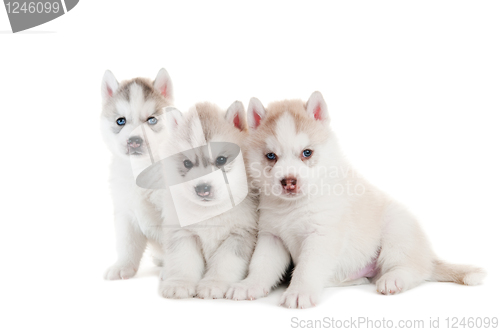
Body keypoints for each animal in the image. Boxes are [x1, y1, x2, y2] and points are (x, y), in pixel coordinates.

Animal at [99, 68, 174, 278]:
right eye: (120, 121)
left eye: (151, 120)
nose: (134, 141)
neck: (141, 169)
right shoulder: (125, 212)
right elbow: (127, 244)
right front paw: (123, 266)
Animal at [148, 100, 258, 298]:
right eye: (187, 163)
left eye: (221, 160)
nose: (203, 189)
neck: (210, 212)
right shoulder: (182, 234)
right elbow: (183, 261)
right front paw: (180, 283)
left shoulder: (240, 234)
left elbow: (224, 263)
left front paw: (214, 283)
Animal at [226, 91, 484, 308]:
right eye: (271, 156)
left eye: (307, 153)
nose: (289, 181)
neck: (293, 207)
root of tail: (429, 255)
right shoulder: (272, 237)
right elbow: (261, 265)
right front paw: (249, 286)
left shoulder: (322, 236)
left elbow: (307, 269)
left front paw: (299, 292)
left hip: (397, 229)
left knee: (414, 269)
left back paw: (394, 279)